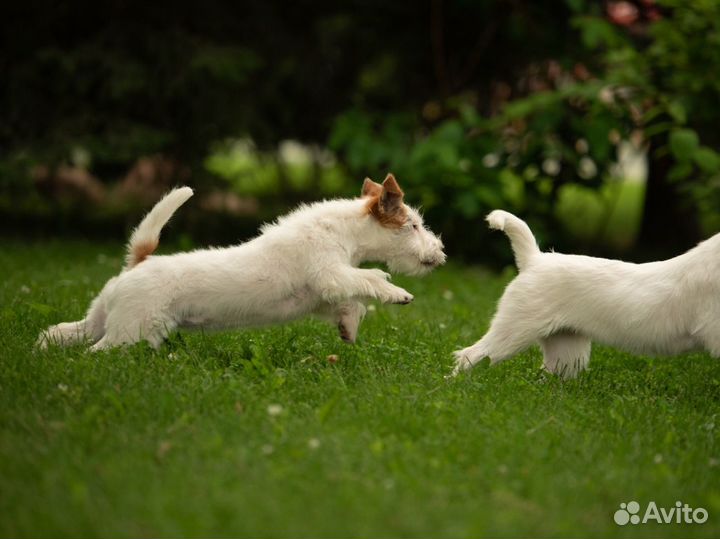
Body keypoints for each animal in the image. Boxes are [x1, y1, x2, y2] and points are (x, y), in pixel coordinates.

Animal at [39, 173, 448, 350]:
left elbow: (351, 303)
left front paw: (348, 329)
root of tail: (136, 265)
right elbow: (371, 278)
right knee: (94, 353)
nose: (441, 254)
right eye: (413, 225)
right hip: (131, 331)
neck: (343, 230)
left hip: (104, 319)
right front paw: (398, 294)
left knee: (60, 332)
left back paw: (40, 351)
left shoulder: (322, 292)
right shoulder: (331, 273)